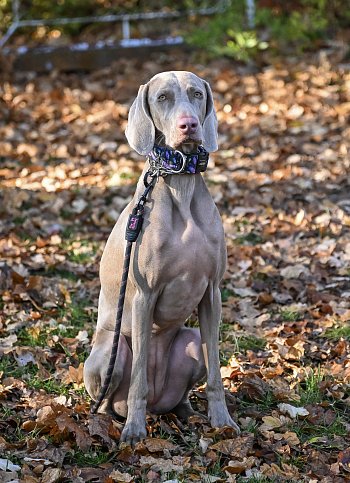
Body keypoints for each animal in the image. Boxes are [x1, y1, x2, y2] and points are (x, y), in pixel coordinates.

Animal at [84, 70, 241, 444]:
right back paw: (114, 422)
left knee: (183, 389)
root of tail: (160, 406)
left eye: (197, 94)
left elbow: (216, 374)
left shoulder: (212, 292)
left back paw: (185, 411)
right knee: (108, 400)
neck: (179, 185)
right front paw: (134, 430)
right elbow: (139, 376)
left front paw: (222, 420)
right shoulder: (144, 296)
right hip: (108, 354)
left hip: (191, 341)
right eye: (163, 98)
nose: (189, 125)